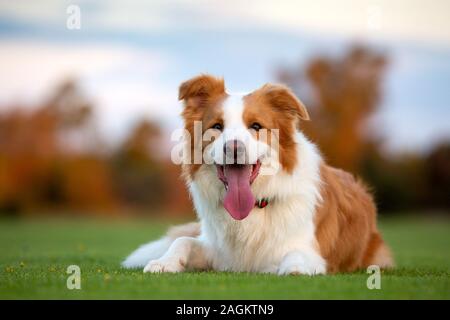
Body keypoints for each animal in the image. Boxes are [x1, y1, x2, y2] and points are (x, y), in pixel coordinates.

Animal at [123, 74, 394, 274]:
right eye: (216, 126)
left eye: (256, 126)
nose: (233, 148)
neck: (254, 206)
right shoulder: (220, 252)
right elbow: (183, 241)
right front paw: (164, 262)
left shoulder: (308, 249)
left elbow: (297, 255)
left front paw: (294, 268)